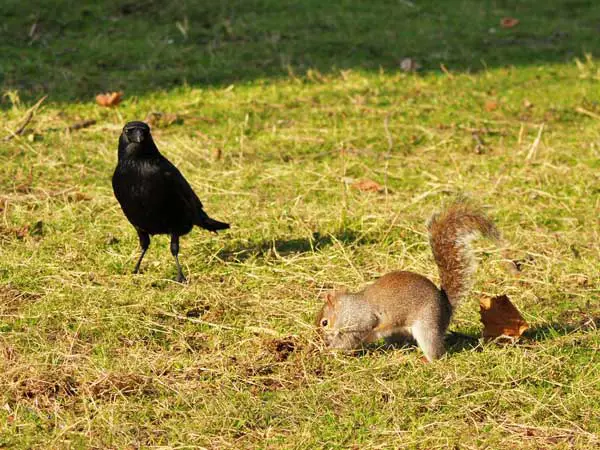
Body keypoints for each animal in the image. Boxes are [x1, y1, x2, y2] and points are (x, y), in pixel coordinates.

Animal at [316, 204, 500, 362]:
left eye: (324, 323)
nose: (320, 338)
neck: (347, 309)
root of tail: (446, 306)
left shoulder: (361, 320)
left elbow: (349, 340)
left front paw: (327, 350)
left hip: (427, 325)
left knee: (436, 351)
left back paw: (427, 360)